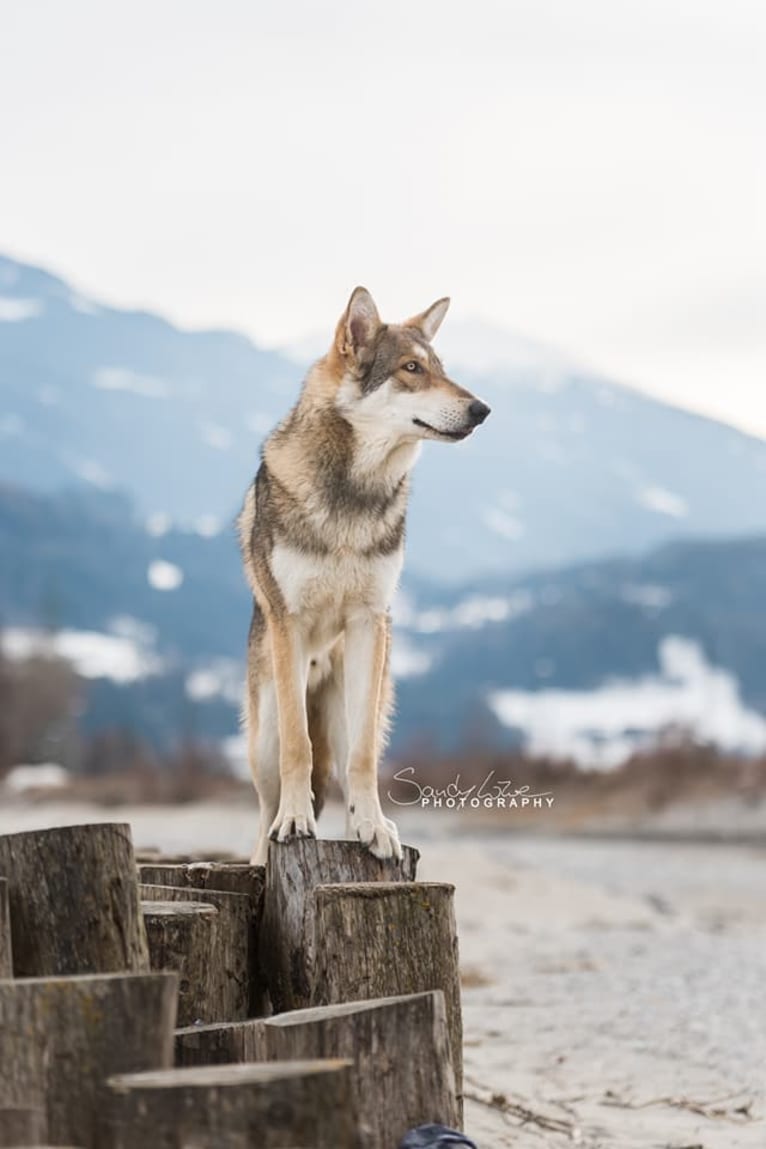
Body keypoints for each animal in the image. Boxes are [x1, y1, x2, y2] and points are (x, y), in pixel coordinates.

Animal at [237, 287, 491, 864]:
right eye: (411, 368)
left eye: (441, 368)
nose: (482, 409)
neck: (352, 496)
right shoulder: (289, 623)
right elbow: (298, 749)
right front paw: (295, 823)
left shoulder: (368, 623)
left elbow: (363, 761)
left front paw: (374, 828)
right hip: (263, 734)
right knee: (265, 806)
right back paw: (266, 851)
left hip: (361, 701)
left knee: (347, 761)